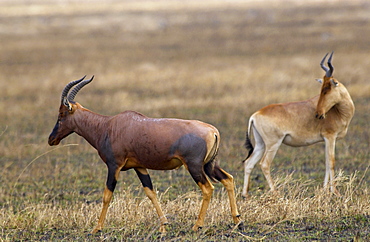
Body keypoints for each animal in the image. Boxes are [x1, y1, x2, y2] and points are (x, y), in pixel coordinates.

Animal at [48, 75, 240, 233]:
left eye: (61, 114)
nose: (51, 139)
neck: (109, 125)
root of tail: (213, 131)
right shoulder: (139, 167)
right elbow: (151, 193)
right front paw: (164, 226)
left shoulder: (114, 165)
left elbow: (107, 195)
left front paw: (97, 228)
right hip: (209, 164)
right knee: (228, 179)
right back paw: (237, 220)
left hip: (194, 166)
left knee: (208, 189)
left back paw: (197, 225)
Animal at [243, 52, 356, 197]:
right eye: (322, 89)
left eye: (327, 89)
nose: (319, 114)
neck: (337, 110)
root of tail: (255, 115)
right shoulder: (330, 137)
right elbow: (331, 162)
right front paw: (335, 192)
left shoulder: (326, 139)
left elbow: (326, 162)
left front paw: (324, 190)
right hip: (273, 143)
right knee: (264, 164)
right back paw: (276, 193)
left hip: (260, 144)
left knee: (248, 163)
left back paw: (245, 195)